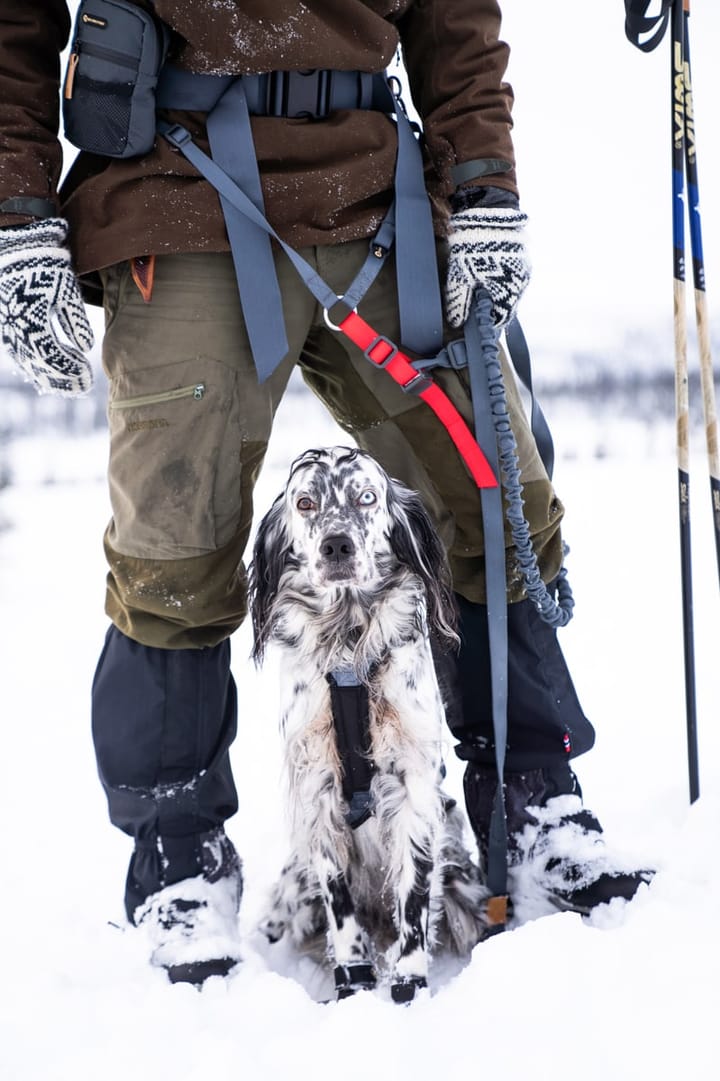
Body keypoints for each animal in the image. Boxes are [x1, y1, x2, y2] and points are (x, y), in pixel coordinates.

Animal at [248, 443, 488, 998]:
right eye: (306, 502)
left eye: (366, 497)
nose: (337, 546)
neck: (347, 638)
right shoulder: (317, 789)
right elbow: (341, 909)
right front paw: (353, 983)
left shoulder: (413, 788)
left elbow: (414, 902)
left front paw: (408, 983)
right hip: (295, 884)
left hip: (462, 878)